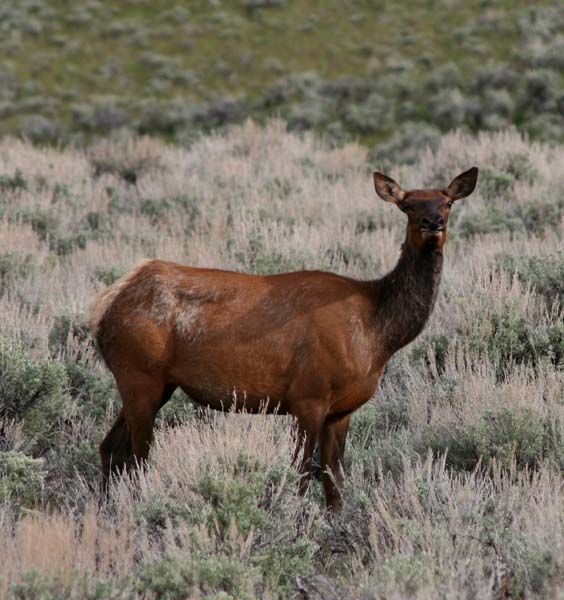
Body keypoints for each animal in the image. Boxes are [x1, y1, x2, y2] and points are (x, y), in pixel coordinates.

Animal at [90, 166, 478, 508]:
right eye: (408, 205)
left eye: (447, 202)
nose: (433, 224)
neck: (376, 335)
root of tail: (106, 306)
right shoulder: (308, 395)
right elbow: (302, 474)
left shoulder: (341, 410)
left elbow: (335, 479)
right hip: (139, 373)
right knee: (137, 458)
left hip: (157, 383)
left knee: (111, 448)